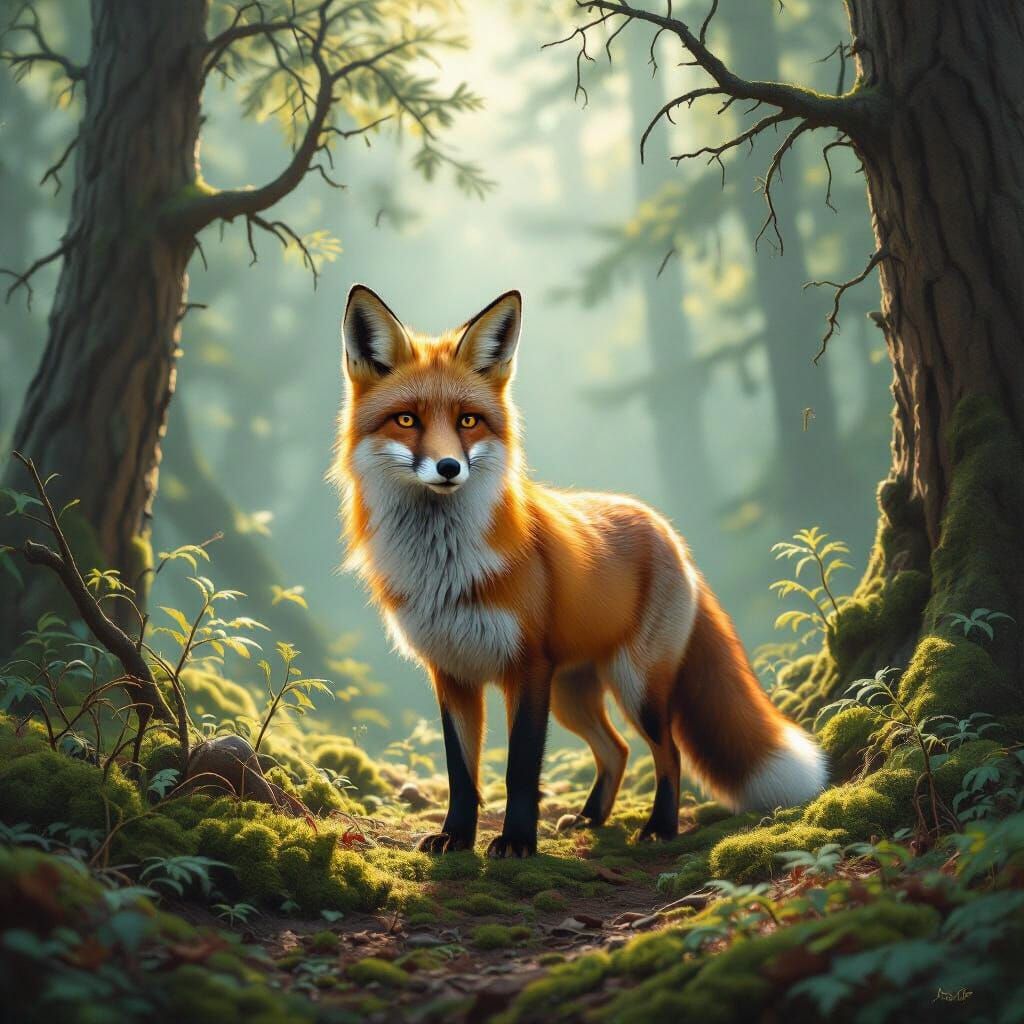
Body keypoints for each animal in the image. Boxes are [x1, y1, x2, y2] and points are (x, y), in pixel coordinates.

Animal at [332, 284, 827, 858]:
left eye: (468, 421)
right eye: (407, 420)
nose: (449, 468)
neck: (445, 568)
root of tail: (669, 532)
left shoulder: (527, 669)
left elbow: (521, 771)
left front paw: (517, 843)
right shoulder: (452, 673)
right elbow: (461, 773)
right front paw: (456, 837)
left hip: (635, 685)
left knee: (667, 752)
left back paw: (659, 827)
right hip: (573, 694)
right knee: (616, 750)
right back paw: (591, 817)